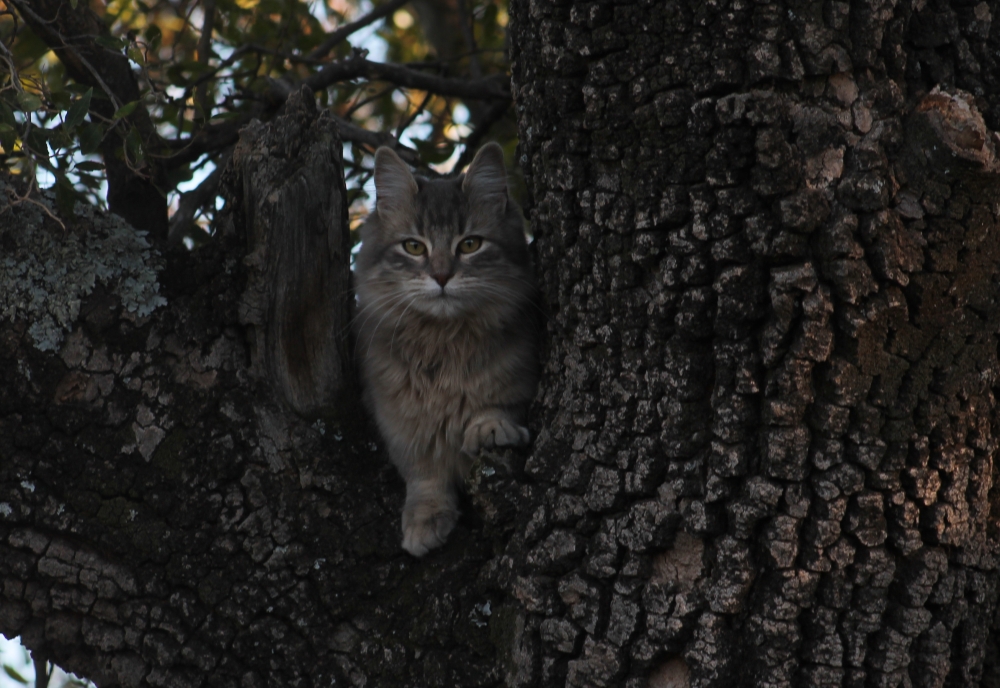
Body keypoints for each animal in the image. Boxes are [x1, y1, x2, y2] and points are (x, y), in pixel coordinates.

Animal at [354, 142, 540, 556]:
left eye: (469, 244)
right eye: (413, 246)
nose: (441, 276)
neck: (443, 343)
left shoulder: (519, 383)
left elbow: (496, 406)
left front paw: (488, 427)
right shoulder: (402, 426)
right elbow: (424, 474)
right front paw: (425, 519)